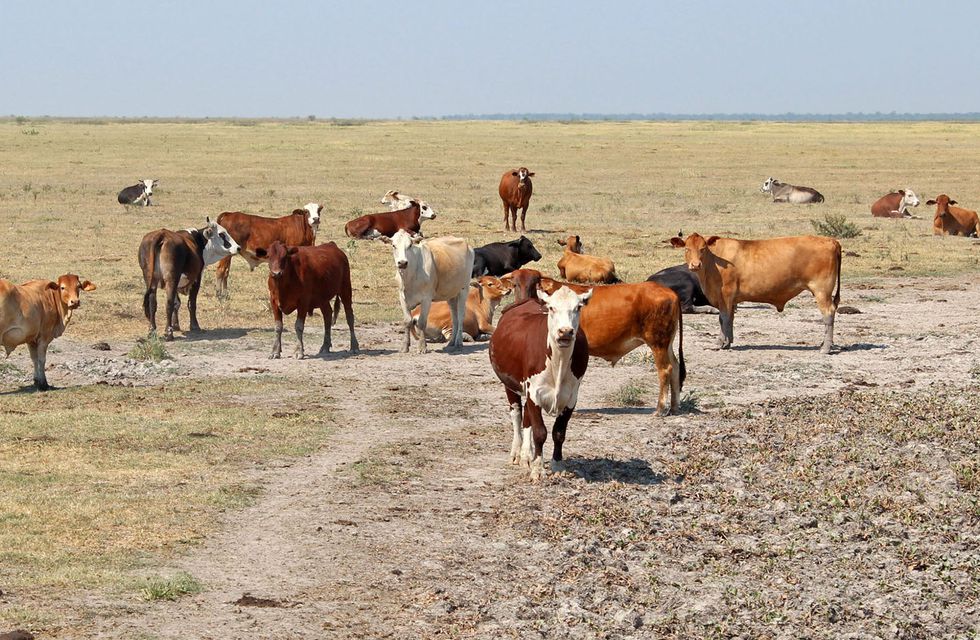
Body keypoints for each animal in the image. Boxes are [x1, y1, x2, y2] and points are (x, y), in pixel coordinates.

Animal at [490, 284, 588, 480]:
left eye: (578, 307)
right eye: (552, 308)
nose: (565, 331)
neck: (558, 362)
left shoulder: (571, 397)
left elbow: (559, 432)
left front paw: (557, 465)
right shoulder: (534, 393)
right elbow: (540, 432)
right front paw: (537, 468)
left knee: (527, 419)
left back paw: (527, 455)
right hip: (510, 385)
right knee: (517, 415)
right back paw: (517, 453)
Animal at [510, 268, 684, 416]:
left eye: (535, 283)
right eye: (515, 284)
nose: (524, 300)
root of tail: (670, 292)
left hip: (658, 343)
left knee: (665, 370)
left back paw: (660, 409)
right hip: (667, 344)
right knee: (675, 366)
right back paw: (674, 407)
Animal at [672, 230, 844, 352]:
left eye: (703, 249)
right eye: (687, 249)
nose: (695, 265)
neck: (714, 260)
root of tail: (831, 240)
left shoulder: (726, 294)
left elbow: (723, 318)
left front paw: (720, 343)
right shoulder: (730, 300)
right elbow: (730, 319)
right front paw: (728, 342)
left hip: (822, 291)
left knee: (828, 314)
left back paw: (825, 347)